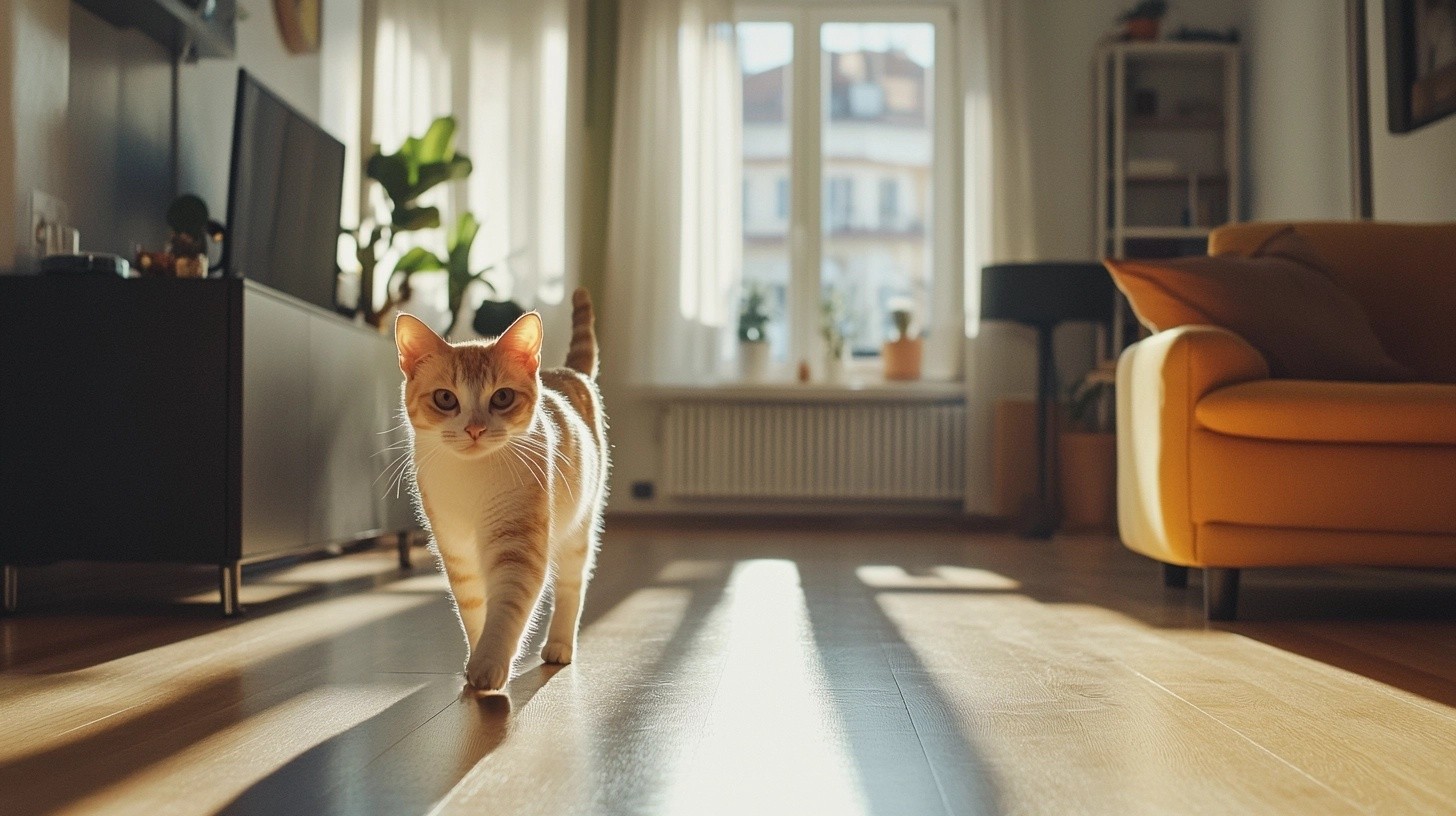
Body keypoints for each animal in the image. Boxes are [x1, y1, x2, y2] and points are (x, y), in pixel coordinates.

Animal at [393, 289, 608, 690]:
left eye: (502, 397)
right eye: (446, 399)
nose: (475, 429)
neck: (472, 478)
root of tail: (568, 371)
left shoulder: (517, 545)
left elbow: (507, 606)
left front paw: (489, 663)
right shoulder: (456, 551)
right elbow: (473, 608)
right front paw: (475, 656)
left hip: (580, 528)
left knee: (572, 586)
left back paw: (559, 645)